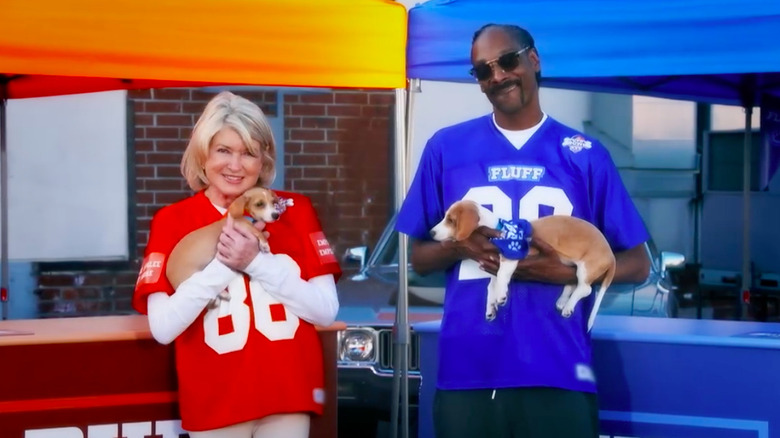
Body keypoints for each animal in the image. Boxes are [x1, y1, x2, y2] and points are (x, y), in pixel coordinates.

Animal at [426, 200, 616, 330]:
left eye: (451, 220)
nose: (431, 232)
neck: (498, 228)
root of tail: (611, 254)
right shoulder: (494, 266)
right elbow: (491, 286)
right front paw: (491, 305)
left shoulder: (512, 256)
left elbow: (502, 275)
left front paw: (501, 296)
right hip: (571, 265)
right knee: (572, 283)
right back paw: (563, 301)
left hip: (586, 267)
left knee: (585, 288)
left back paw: (569, 306)